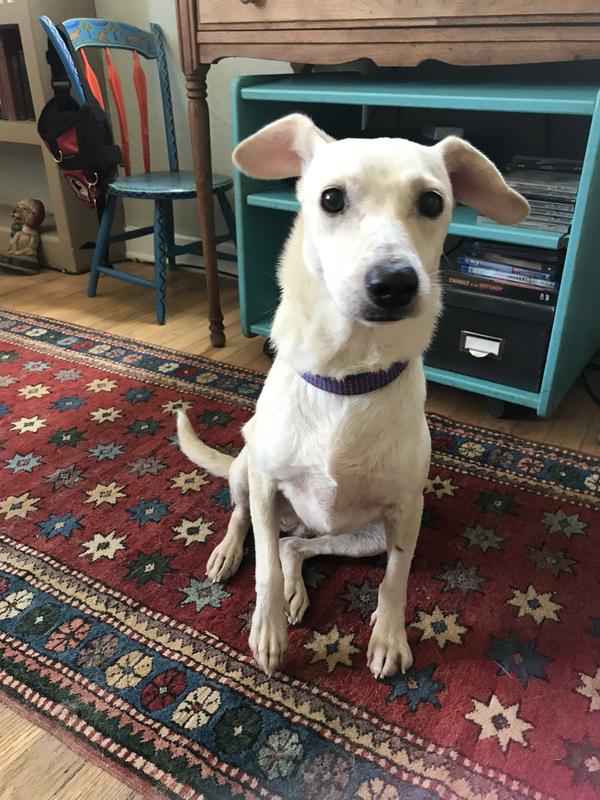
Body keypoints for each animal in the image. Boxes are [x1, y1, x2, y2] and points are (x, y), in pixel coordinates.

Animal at [177, 115, 524, 680]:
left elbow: (396, 578)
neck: (347, 376)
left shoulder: (406, 512)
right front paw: (267, 632)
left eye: (432, 202)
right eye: (331, 198)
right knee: (248, 523)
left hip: (364, 536)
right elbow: (264, 570)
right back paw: (230, 554)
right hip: (247, 470)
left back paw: (297, 585)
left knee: (295, 545)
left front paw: (388, 638)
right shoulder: (267, 483)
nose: (394, 283)